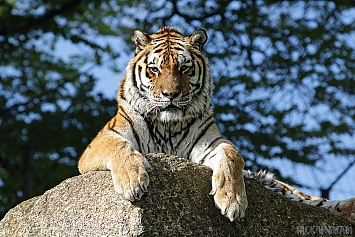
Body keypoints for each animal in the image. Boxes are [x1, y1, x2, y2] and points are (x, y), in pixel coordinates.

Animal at [78, 25, 354, 222]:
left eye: (184, 68)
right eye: (155, 70)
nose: (170, 95)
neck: (168, 126)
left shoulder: (212, 144)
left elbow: (232, 156)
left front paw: (232, 200)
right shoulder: (99, 143)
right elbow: (120, 147)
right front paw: (133, 181)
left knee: (311, 199)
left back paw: (349, 207)